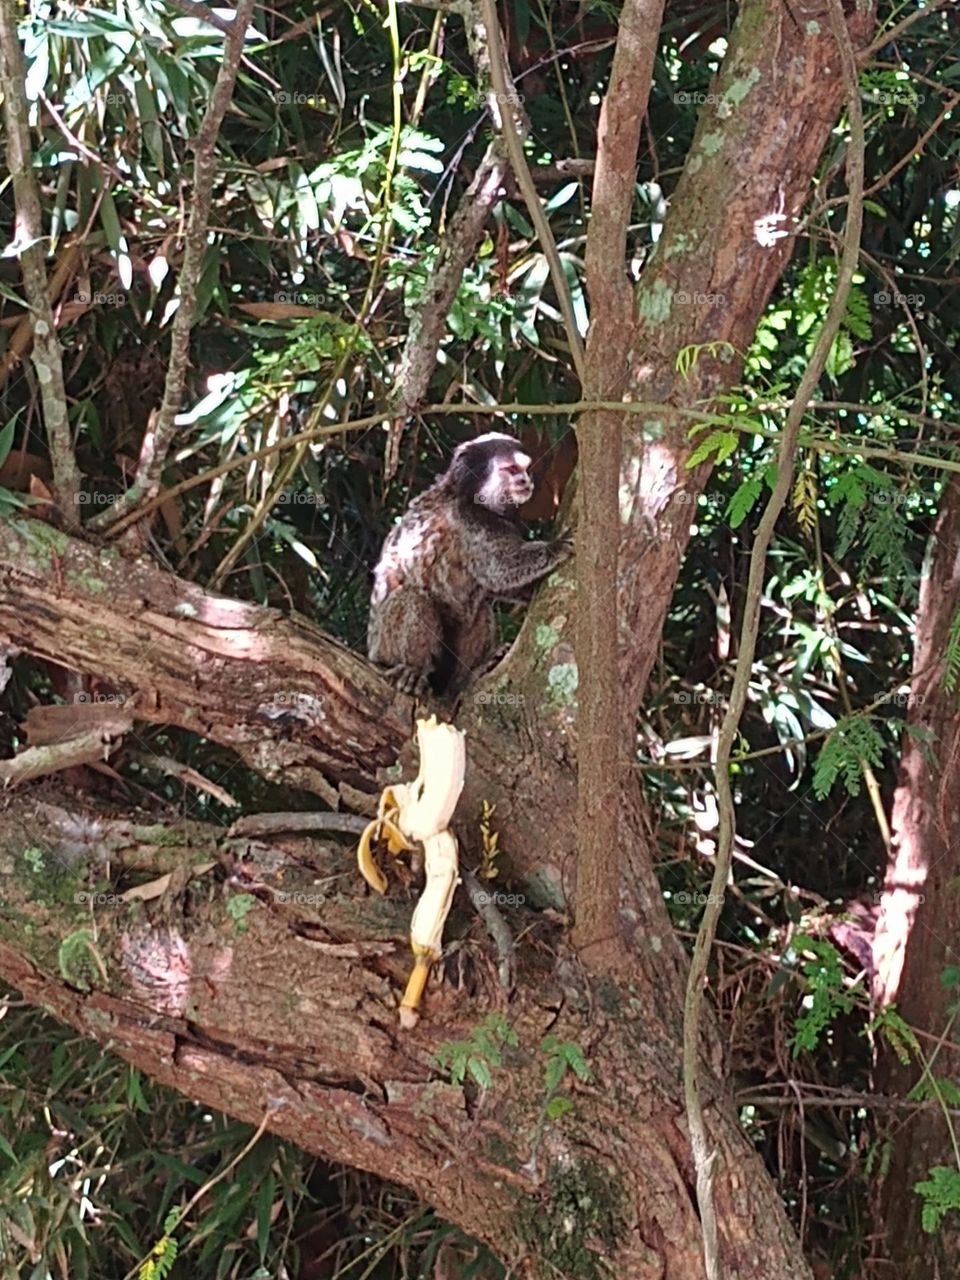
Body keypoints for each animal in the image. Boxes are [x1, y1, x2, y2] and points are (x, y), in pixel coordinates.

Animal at [367, 433, 571, 696]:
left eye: (525, 470)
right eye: (512, 469)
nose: (525, 481)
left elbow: (499, 586)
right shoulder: (470, 519)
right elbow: (499, 569)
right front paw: (554, 547)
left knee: (479, 610)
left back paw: (469, 676)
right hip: (383, 648)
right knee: (412, 597)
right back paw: (413, 669)